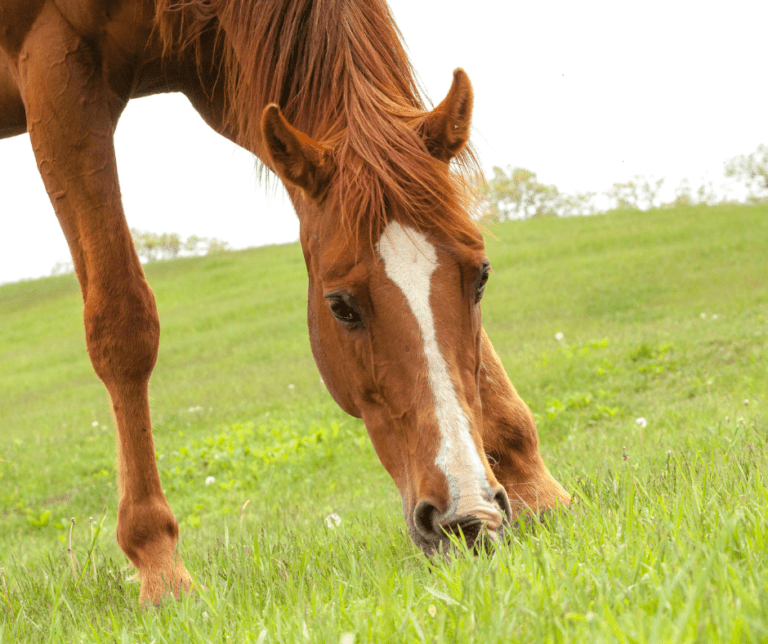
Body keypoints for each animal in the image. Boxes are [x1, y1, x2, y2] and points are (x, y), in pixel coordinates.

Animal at [0, 0, 570, 605]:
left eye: (481, 277)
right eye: (340, 306)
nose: (464, 517)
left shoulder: (239, 88)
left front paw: (534, 487)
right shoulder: (57, 76)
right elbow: (122, 323)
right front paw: (158, 562)